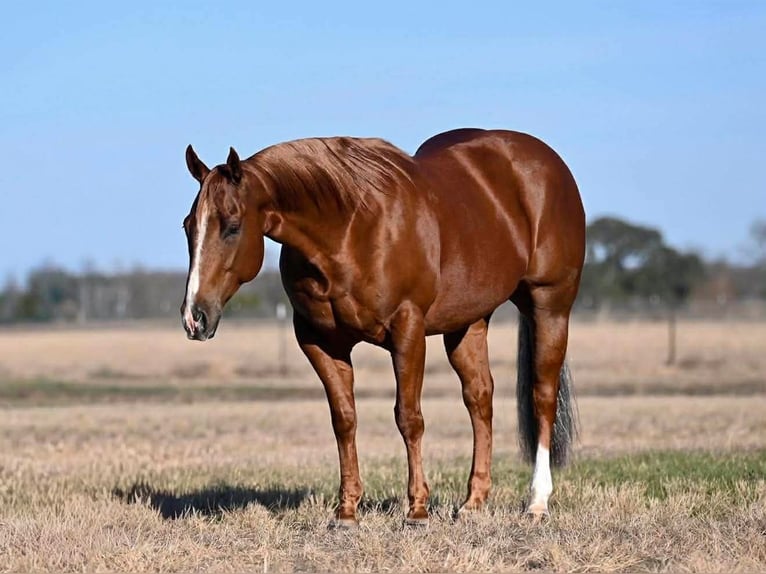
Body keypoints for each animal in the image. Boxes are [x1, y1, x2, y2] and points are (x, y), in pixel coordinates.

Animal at [180, 128, 585, 528]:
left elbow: (409, 417)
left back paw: (537, 502)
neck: (349, 230)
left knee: (542, 396)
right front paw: (346, 511)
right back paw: (473, 502)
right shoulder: (319, 341)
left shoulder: (407, 329)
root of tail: (546, 161)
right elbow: (344, 419)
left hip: (549, 306)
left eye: (232, 227)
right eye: (188, 226)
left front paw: (417, 510)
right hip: (468, 322)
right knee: (479, 398)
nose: (194, 316)